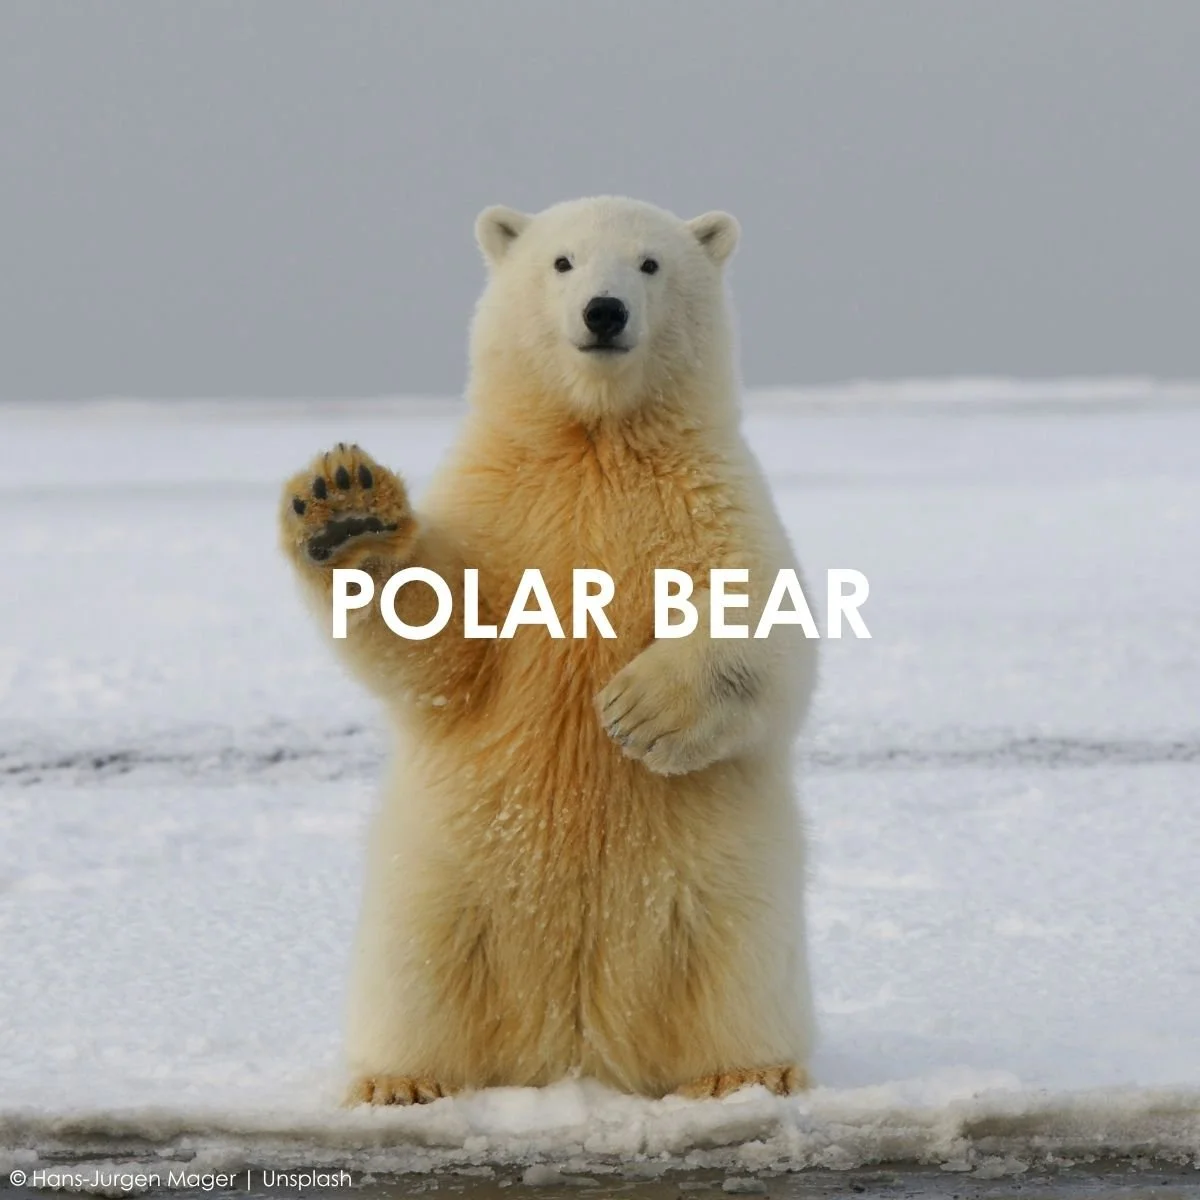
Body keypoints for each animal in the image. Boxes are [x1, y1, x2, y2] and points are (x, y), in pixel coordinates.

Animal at [278, 196, 818, 1104]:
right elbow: (442, 645)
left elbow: (769, 626)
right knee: (416, 972)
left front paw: (639, 710)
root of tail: (574, 1049)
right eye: (562, 262)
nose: (604, 312)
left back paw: (747, 1072)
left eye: (649, 264)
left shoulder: (711, 498)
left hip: (725, 887)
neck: (594, 440)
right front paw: (347, 510)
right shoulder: (503, 505)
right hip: (440, 880)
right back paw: (400, 1081)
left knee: (736, 968)